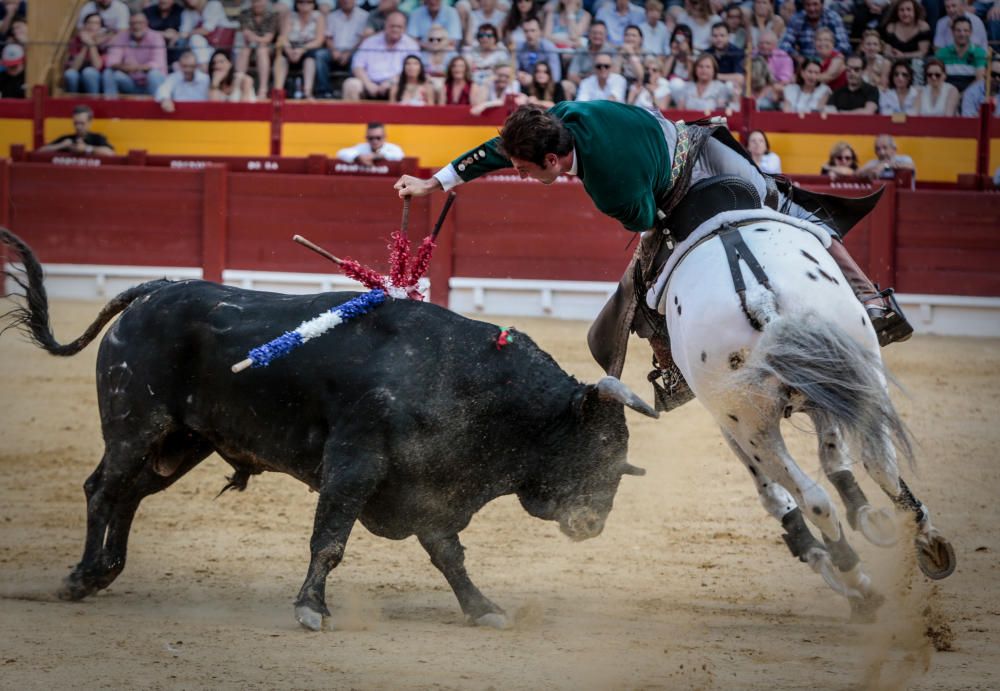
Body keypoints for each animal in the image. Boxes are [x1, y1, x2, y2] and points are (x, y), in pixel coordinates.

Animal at [652, 205, 956, 616]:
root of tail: (758, 295)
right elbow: (832, 456)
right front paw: (862, 519)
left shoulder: (730, 421)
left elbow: (789, 481)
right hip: (856, 371)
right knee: (875, 464)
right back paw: (922, 546)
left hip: (752, 423)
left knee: (817, 495)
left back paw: (859, 582)